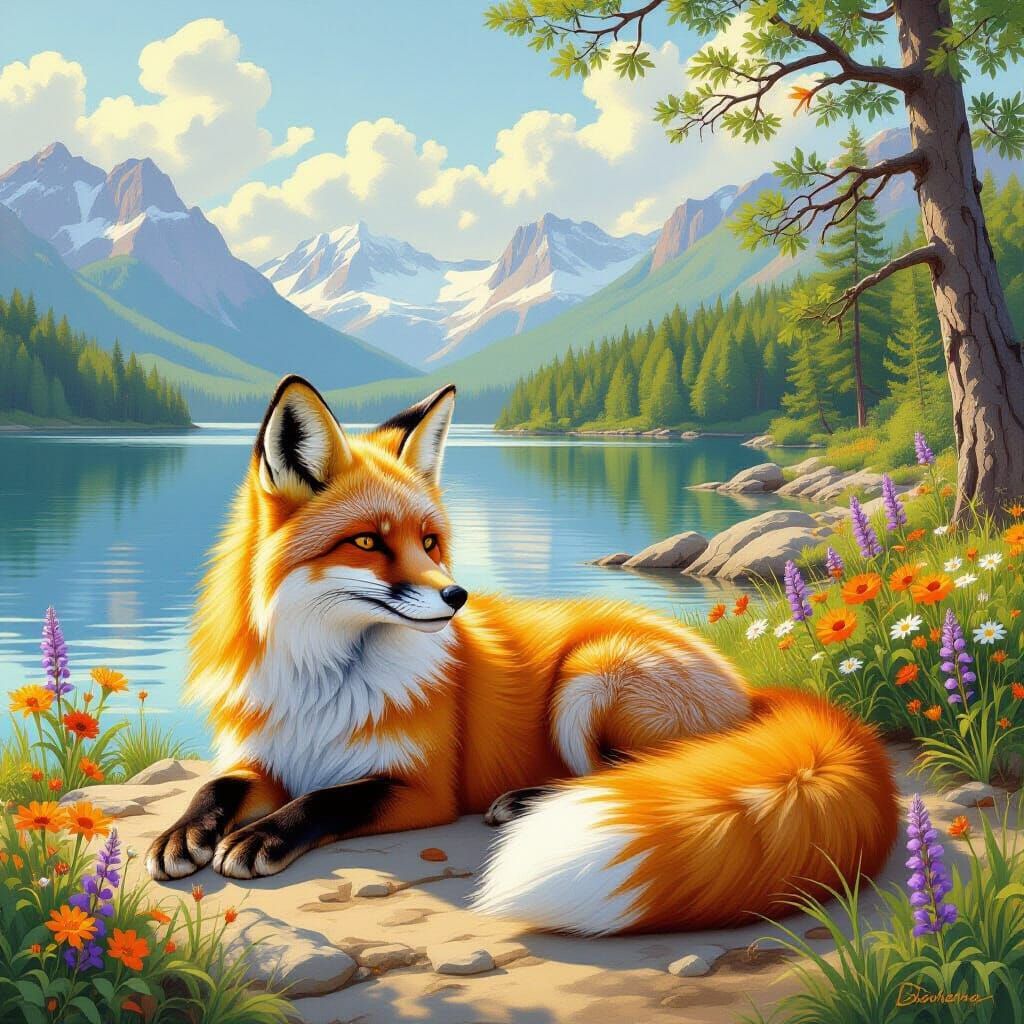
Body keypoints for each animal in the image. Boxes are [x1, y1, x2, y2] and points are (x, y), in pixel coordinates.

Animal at [146, 374, 899, 934]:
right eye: (366, 542)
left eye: (429, 541)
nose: (457, 596)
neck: (324, 682)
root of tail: (750, 688)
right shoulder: (266, 754)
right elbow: (216, 787)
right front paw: (185, 835)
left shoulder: (420, 787)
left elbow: (331, 798)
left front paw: (263, 835)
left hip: (588, 681)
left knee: (637, 772)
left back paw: (528, 802)